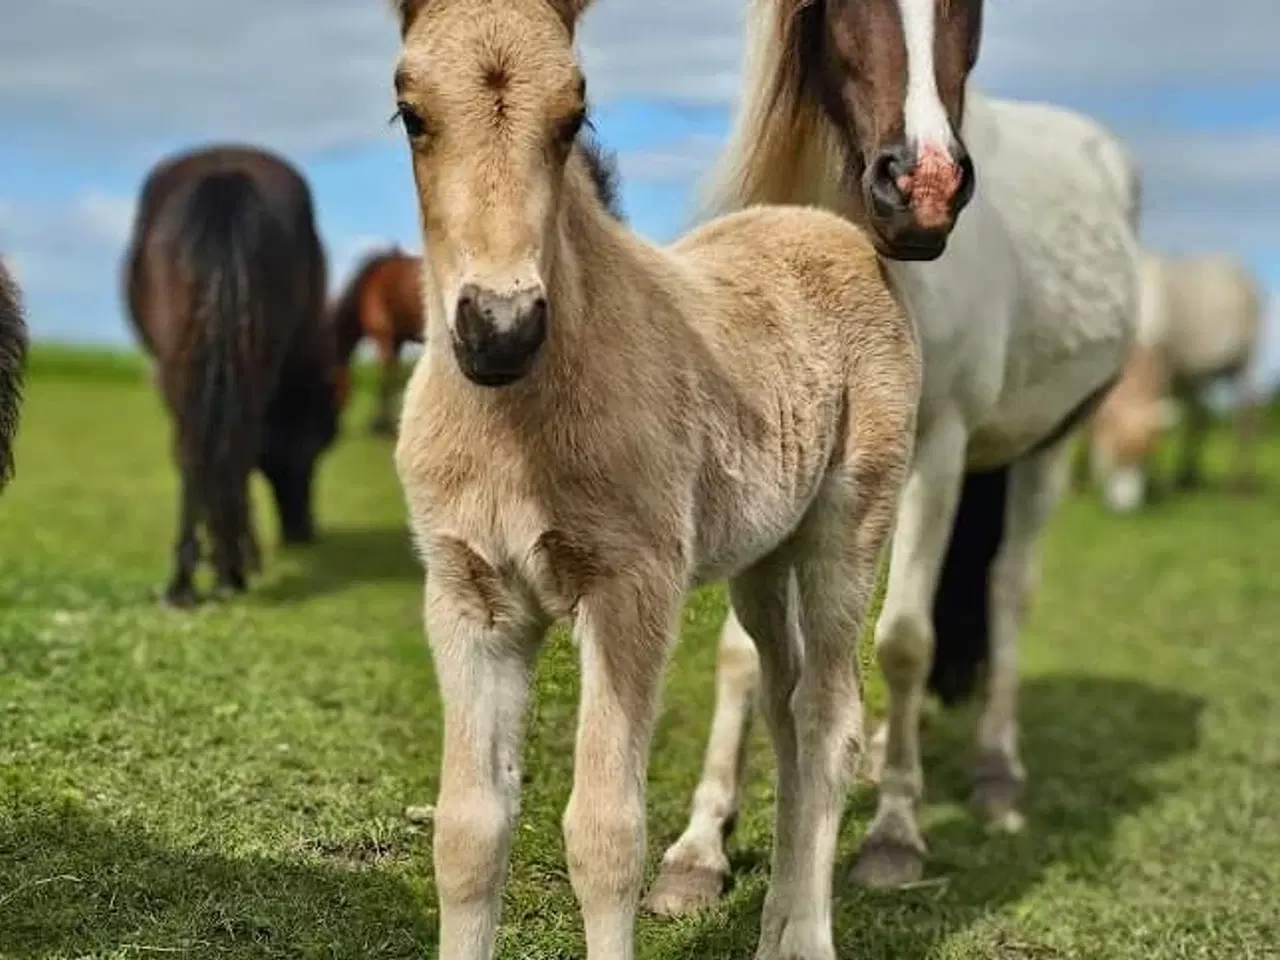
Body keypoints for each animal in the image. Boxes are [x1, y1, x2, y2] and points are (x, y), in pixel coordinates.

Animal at [123, 142, 340, 609]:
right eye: (318, 444)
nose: (302, 531)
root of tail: (224, 174)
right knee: (222, 447)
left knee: (207, 450)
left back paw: (199, 579)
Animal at [327, 245, 422, 435]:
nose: (334, 428)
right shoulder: (396, 341)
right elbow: (393, 376)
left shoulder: (383, 337)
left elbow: (384, 378)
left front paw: (380, 425)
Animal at [386, 0, 921, 957]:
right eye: (410, 112)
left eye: (575, 117)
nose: (499, 330)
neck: (516, 429)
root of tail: (835, 230)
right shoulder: (467, 597)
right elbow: (468, 830)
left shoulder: (632, 586)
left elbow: (605, 832)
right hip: (761, 556)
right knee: (783, 707)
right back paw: (773, 923)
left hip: (850, 527)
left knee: (828, 721)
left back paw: (806, 934)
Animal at [645, 0, 1146, 911]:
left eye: (971, 8)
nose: (925, 191)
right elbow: (740, 654)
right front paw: (699, 848)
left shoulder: (938, 449)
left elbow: (907, 639)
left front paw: (895, 837)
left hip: (1045, 450)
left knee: (1007, 590)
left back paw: (996, 774)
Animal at [1085, 252, 1264, 514]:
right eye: (1115, 452)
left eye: (1146, 454)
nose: (1126, 508)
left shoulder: (1166, 365)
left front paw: (1158, 485)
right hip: (1195, 377)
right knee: (1199, 416)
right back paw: (1187, 478)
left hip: (1245, 363)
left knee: (1246, 416)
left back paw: (1239, 487)